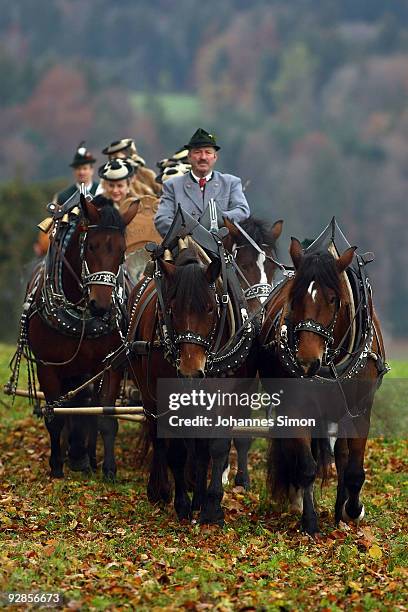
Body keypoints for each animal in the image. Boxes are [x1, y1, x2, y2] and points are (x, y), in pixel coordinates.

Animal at [24, 195, 138, 478]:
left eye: (122, 252)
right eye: (91, 247)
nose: (102, 306)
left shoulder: (110, 366)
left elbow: (104, 416)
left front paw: (108, 469)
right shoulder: (48, 366)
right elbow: (55, 416)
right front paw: (57, 467)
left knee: (87, 406)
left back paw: (86, 457)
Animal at [260, 227, 388, 532]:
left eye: (333, 299)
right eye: (294, 298)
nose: (307, 361)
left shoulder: (359, 409)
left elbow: (353, 467)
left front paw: (352, 510)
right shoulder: (296, 408)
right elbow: (306, 467)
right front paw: (309, 522)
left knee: (342, 455)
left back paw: (341, 510)